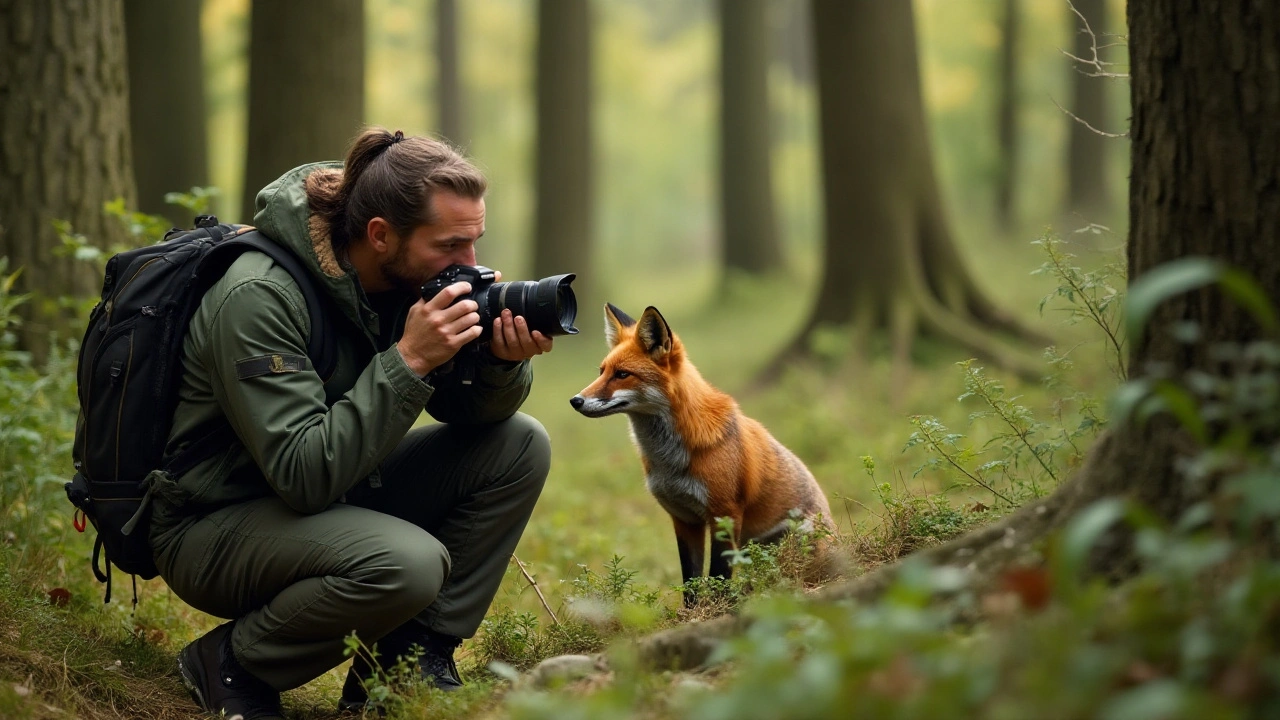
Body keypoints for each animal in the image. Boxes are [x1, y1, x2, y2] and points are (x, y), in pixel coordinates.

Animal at [568, 304, 829, 591]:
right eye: (601, 372)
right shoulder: (684, 519)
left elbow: (718, 578)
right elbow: (690, 582)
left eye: (622, 374)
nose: (575, 401)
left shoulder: (725, 515)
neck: (669, 460)